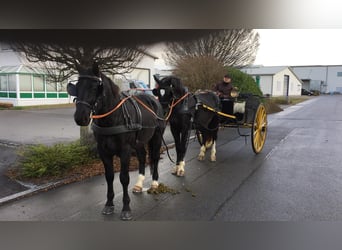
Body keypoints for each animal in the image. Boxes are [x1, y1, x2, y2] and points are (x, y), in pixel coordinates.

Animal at [67, 63, 166, 221]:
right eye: (77, 86)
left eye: (95, 87)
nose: (80, 117)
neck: (114, 117)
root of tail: (153, 100)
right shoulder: (104, 151)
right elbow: (109, 177)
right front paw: (109, 204)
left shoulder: (125, 151)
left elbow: (124, 178)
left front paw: (126, 208)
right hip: (139, 142)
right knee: (142, 157)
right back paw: (139, 184)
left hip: (156, 138)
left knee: (155, 158)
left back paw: (155, 183)